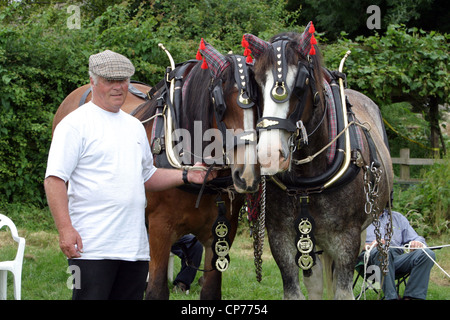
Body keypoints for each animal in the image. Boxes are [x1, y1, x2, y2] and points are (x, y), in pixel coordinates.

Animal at [130, 40, 260, 300]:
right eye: (220, 105)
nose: (248, 174)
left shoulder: (220, 232)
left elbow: (210, 290)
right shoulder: (159, 229)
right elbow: (156, 290)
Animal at [243, 23, 394, 300]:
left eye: (301, 85)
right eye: (256, 82)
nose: (269, 155)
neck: (308, 182)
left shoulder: (347, 239)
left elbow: (342, 291)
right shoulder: (281, 237)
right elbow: (297, 290)